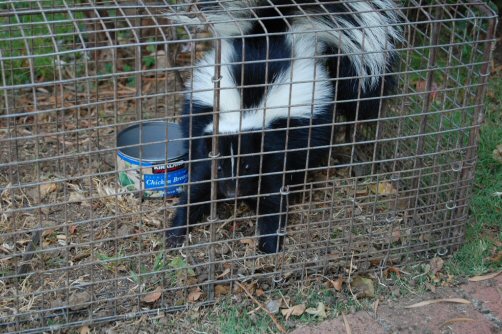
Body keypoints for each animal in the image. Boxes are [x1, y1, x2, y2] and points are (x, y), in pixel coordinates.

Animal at [167, 0, 402, 253]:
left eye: (247, 165)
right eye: (220, 168)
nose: (231, 192)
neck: (244, 112)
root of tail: (274, 27)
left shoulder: (274, 146)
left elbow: (273, 194)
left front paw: (269, 242)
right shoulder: (209, 137)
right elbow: (197, 186)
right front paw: (176, 232)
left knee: (308, 156)